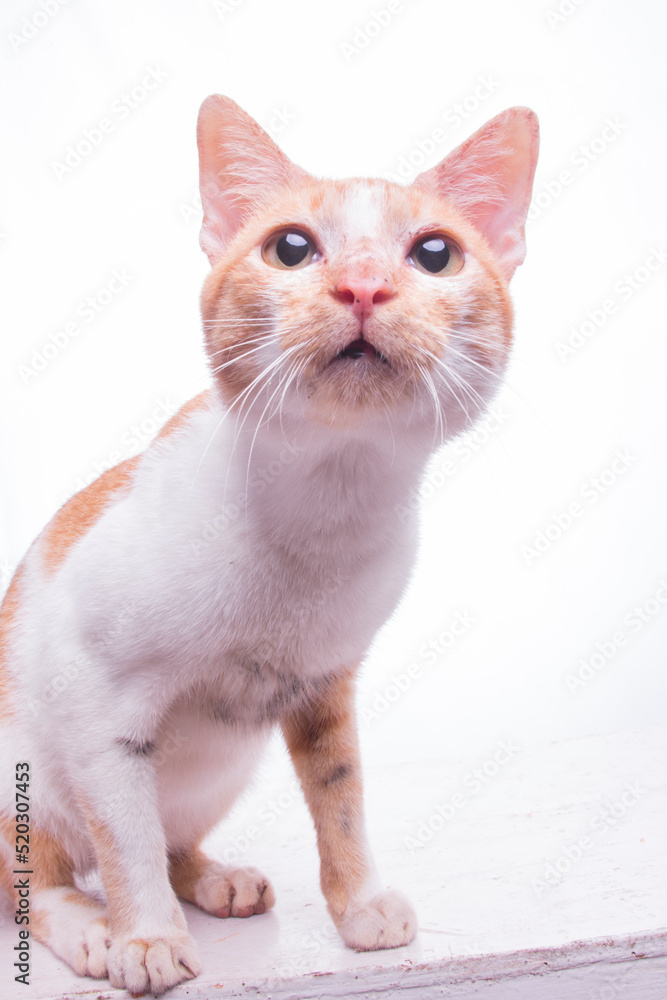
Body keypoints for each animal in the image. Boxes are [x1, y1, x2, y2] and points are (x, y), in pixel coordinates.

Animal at [0, 95, 540, 992]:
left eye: (434, 254)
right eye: (291, 248)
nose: (363, 285)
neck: (323, 504)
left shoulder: (327, 683)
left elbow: (340, 796)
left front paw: (359, 905)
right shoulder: (95, 699)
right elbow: (124, 838)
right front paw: (145, 937)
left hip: (218, 770)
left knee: (169, 834)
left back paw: (215, 879)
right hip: (30, 772)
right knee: (39, 875)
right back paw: (93, 930)